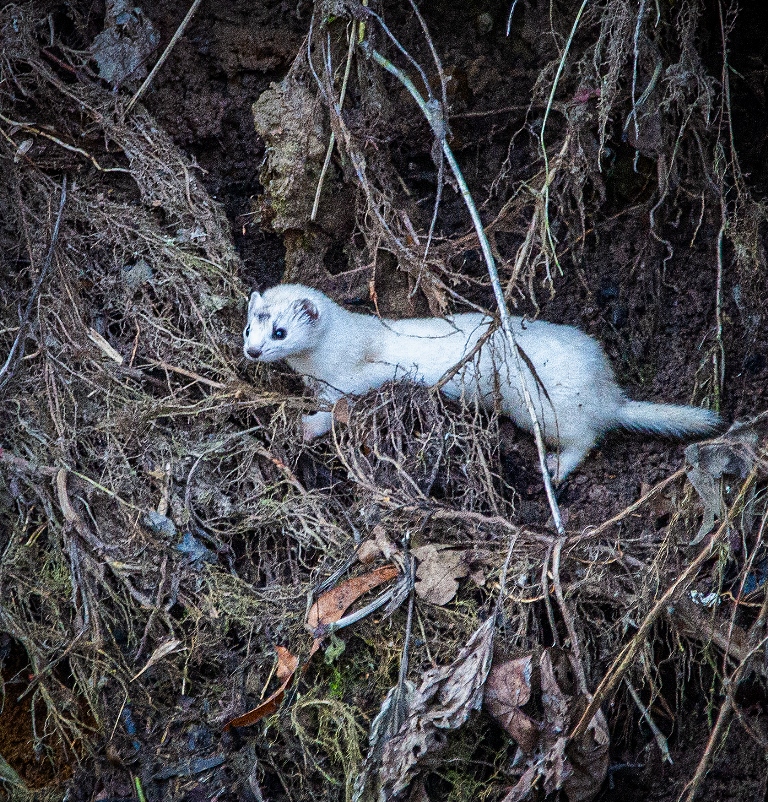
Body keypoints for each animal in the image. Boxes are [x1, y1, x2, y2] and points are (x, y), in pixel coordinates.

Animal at [243, 284, 724, 478]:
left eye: (279, 332)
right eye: (250, 326)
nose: (252, 351)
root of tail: (609, 392)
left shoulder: (360, 375)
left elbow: (341, 406)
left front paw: (308, 424)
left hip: (547, 409)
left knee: (585, 440)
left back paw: (554, 467)